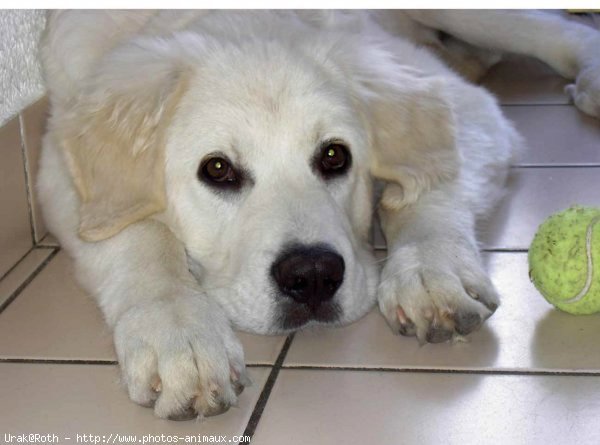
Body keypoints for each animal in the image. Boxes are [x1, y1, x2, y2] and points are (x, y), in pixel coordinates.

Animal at [38, 11, 600, 420]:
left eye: (334, 156)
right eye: (217, 169)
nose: (311, 276)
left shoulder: (461, 104)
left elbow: (423, 188)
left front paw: (430, 274)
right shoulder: (61, 166)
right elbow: (136, 234)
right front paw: (179, 333)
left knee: (554, 29)